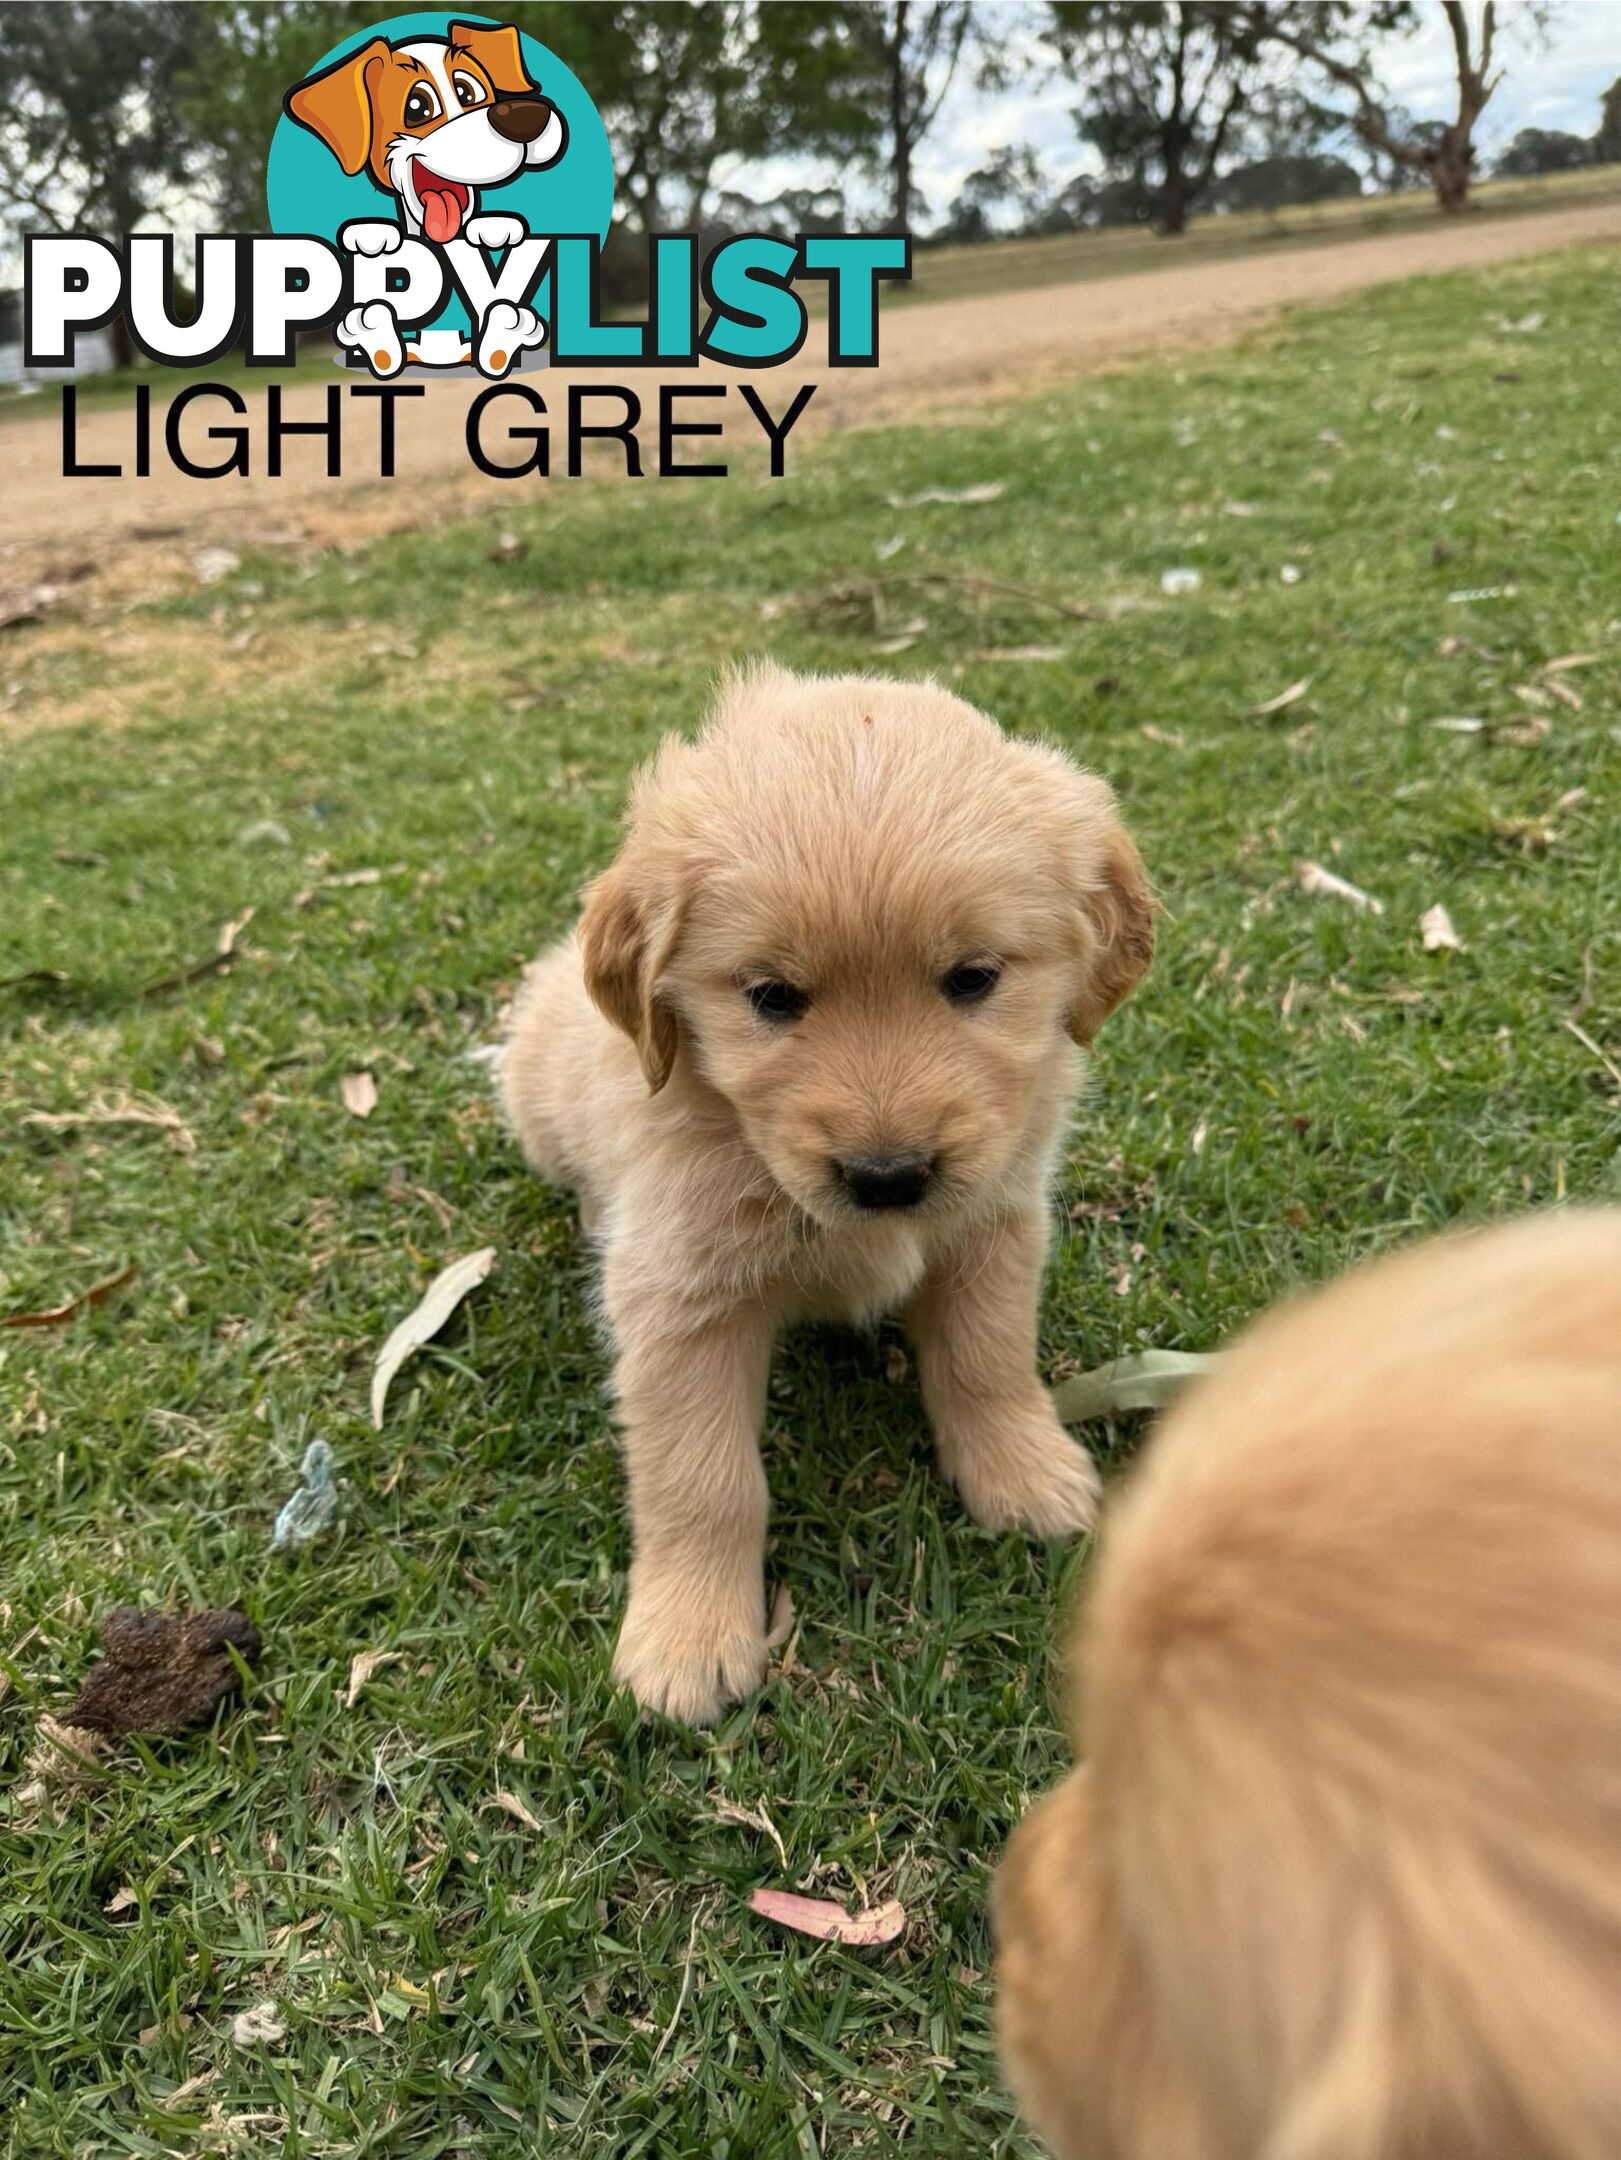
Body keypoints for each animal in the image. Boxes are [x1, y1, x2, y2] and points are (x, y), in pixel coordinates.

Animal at [505, 656, 1158, 1719]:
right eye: (772, 997)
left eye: (972, 978)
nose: (888, 1176)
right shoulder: (681, 1295)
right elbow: (702, 1476)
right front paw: (689, 1637)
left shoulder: (994, 1222)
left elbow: (987, 1359)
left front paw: (1022, 1472)